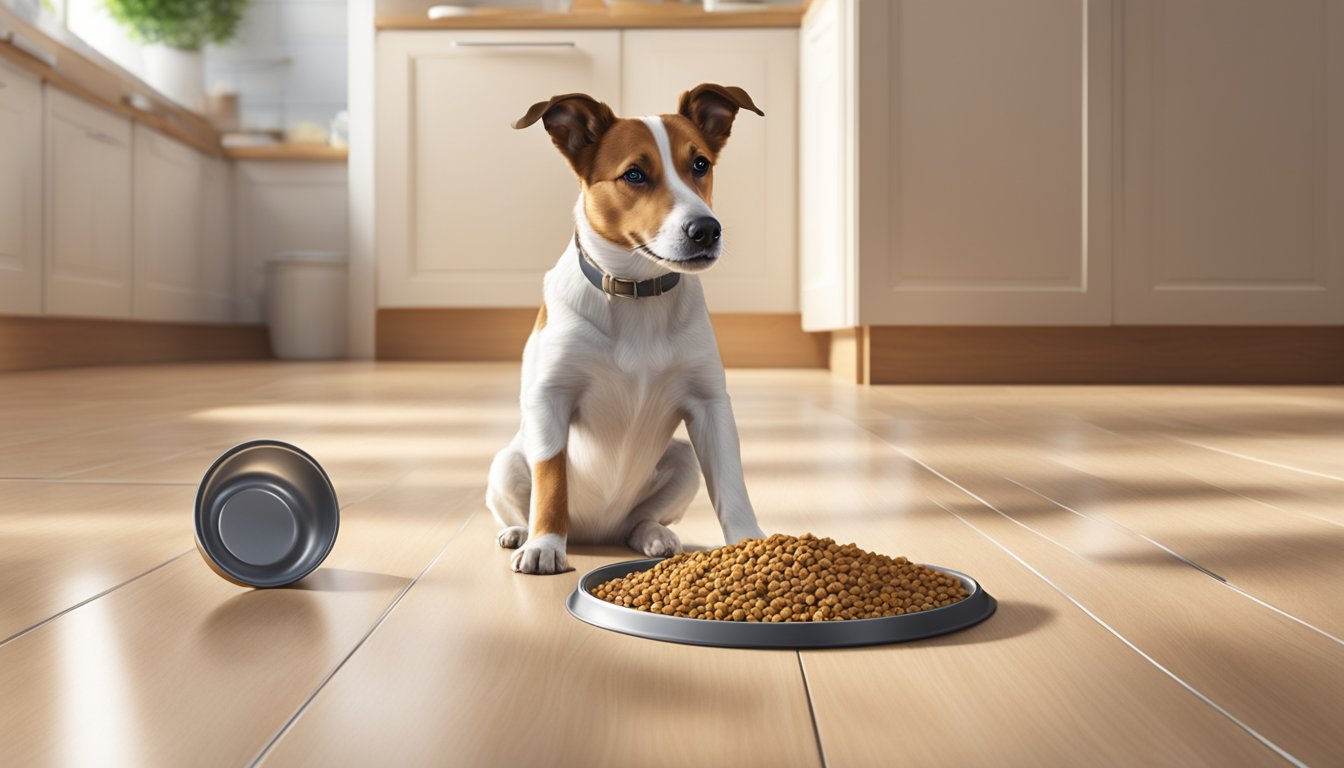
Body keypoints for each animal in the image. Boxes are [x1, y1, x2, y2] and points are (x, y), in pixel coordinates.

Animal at [489, 85, 768, 575]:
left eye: (701, 164)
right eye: (634, 174)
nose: (706, 229)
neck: (638, 293)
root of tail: (596, 532)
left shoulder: (709, 404)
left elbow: (732, 484)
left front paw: (750, 544)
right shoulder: (551, 397)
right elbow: (551, 479)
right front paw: (545, 545)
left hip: (682, 460)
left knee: (639, 521)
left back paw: (655, 535)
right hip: (505, 463)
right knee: (521, 498)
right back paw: (521, 533)